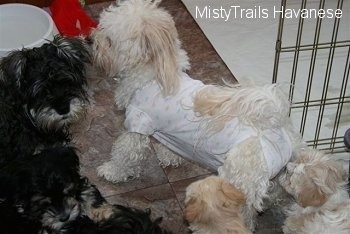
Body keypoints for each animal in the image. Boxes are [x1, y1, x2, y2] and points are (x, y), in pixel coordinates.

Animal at [90, 0, 306, 230]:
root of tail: (275, 128)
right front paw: (169, 157)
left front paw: (111, 171)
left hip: (238, 181)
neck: (153, 76)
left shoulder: (137, 125)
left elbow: (124, 154)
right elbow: (170, 146)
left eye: (109, 40)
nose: (90, 39)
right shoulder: (169, 133)